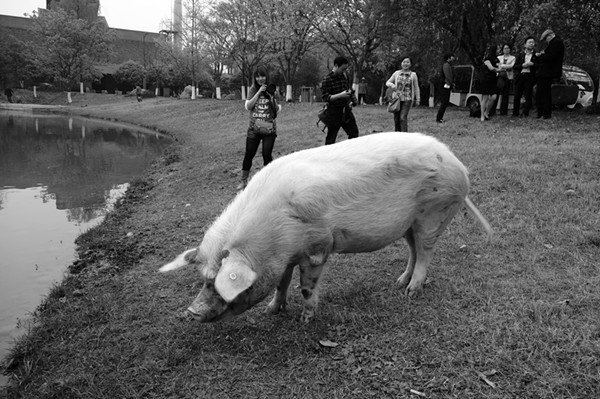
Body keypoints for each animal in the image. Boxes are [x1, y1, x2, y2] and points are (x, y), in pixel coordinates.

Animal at [159, 133, 492, 324]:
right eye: (203, 280)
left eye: (218, 282)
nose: (191, 312)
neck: (271, 242)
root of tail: (459, 165)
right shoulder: (286, 257)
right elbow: (281, 283)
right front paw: (271, 311)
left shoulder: (318, 246)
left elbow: (306, 286)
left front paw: (306, 321)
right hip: (409, 223)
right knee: (412, 251)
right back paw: (399, 282)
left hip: (433, 213)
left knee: (426, 252)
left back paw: (411, 292)